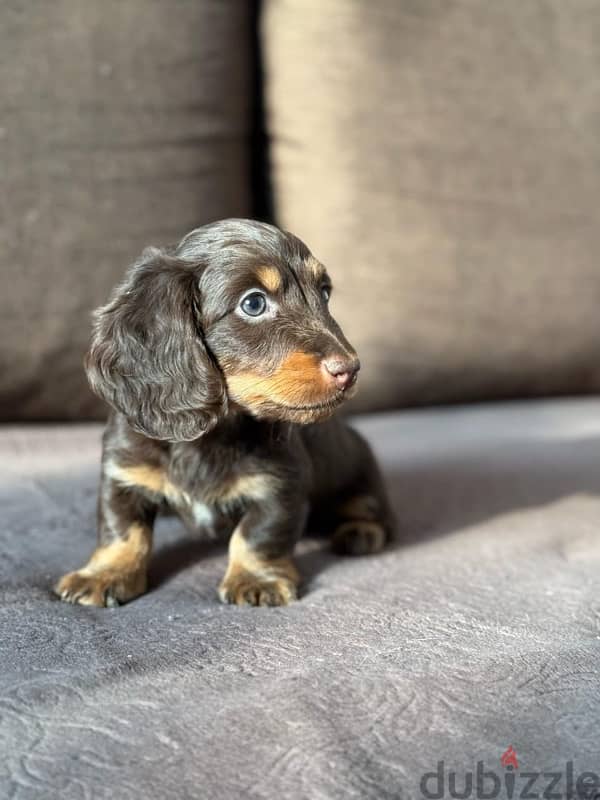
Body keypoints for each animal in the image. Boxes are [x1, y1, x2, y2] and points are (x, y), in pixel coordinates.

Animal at [55, 219, 394, 608]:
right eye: (254, 303)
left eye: (324, 293)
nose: (350, 369)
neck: (210, 434)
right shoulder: (123, 473)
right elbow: (122, 530)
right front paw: (105, 574)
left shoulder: (279, 484)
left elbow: (257, 535)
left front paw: (256, 579)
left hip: (360, 472)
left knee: (370, 508)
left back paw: (360, 531)